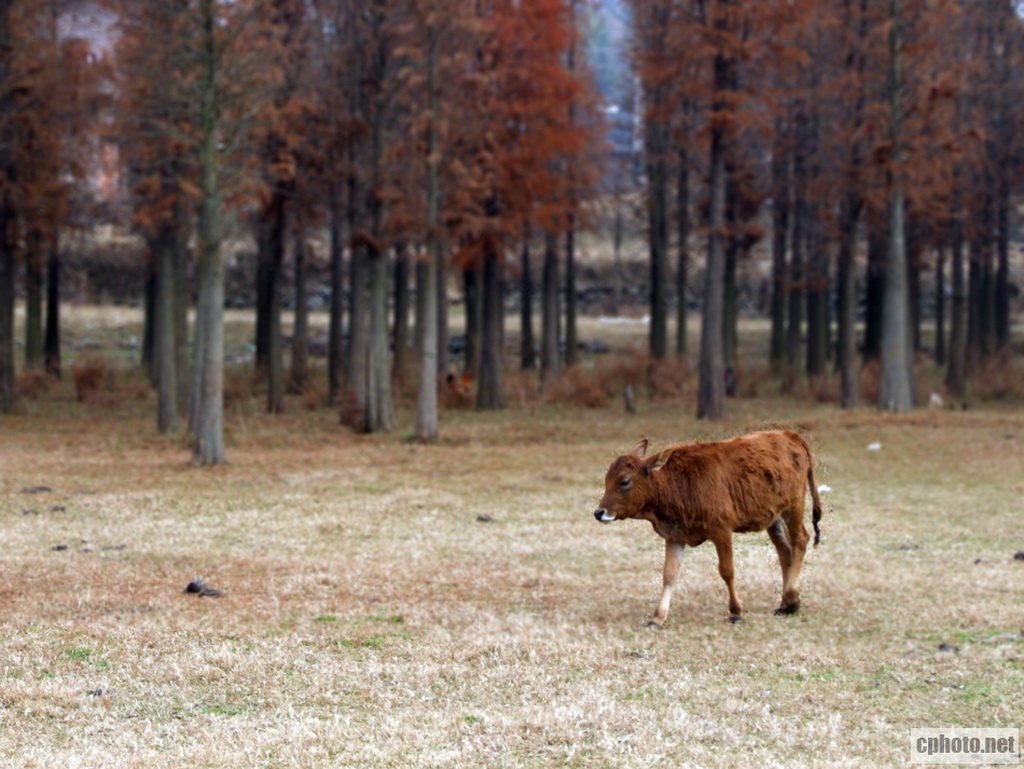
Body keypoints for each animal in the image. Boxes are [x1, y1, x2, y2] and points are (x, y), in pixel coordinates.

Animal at [593, 430, 823, 626]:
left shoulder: (721, 531)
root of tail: (790, 435)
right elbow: (669, 574)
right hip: (773, 517)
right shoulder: (675, 536)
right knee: (784, 551)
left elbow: (727, 571)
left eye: (624, 481)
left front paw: (736, 612)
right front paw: (658, 617)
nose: (599, 512)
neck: (677, 484)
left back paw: (791, 597)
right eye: (606, 480)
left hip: (794, 505)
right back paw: (787, 603)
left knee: (800, 540)